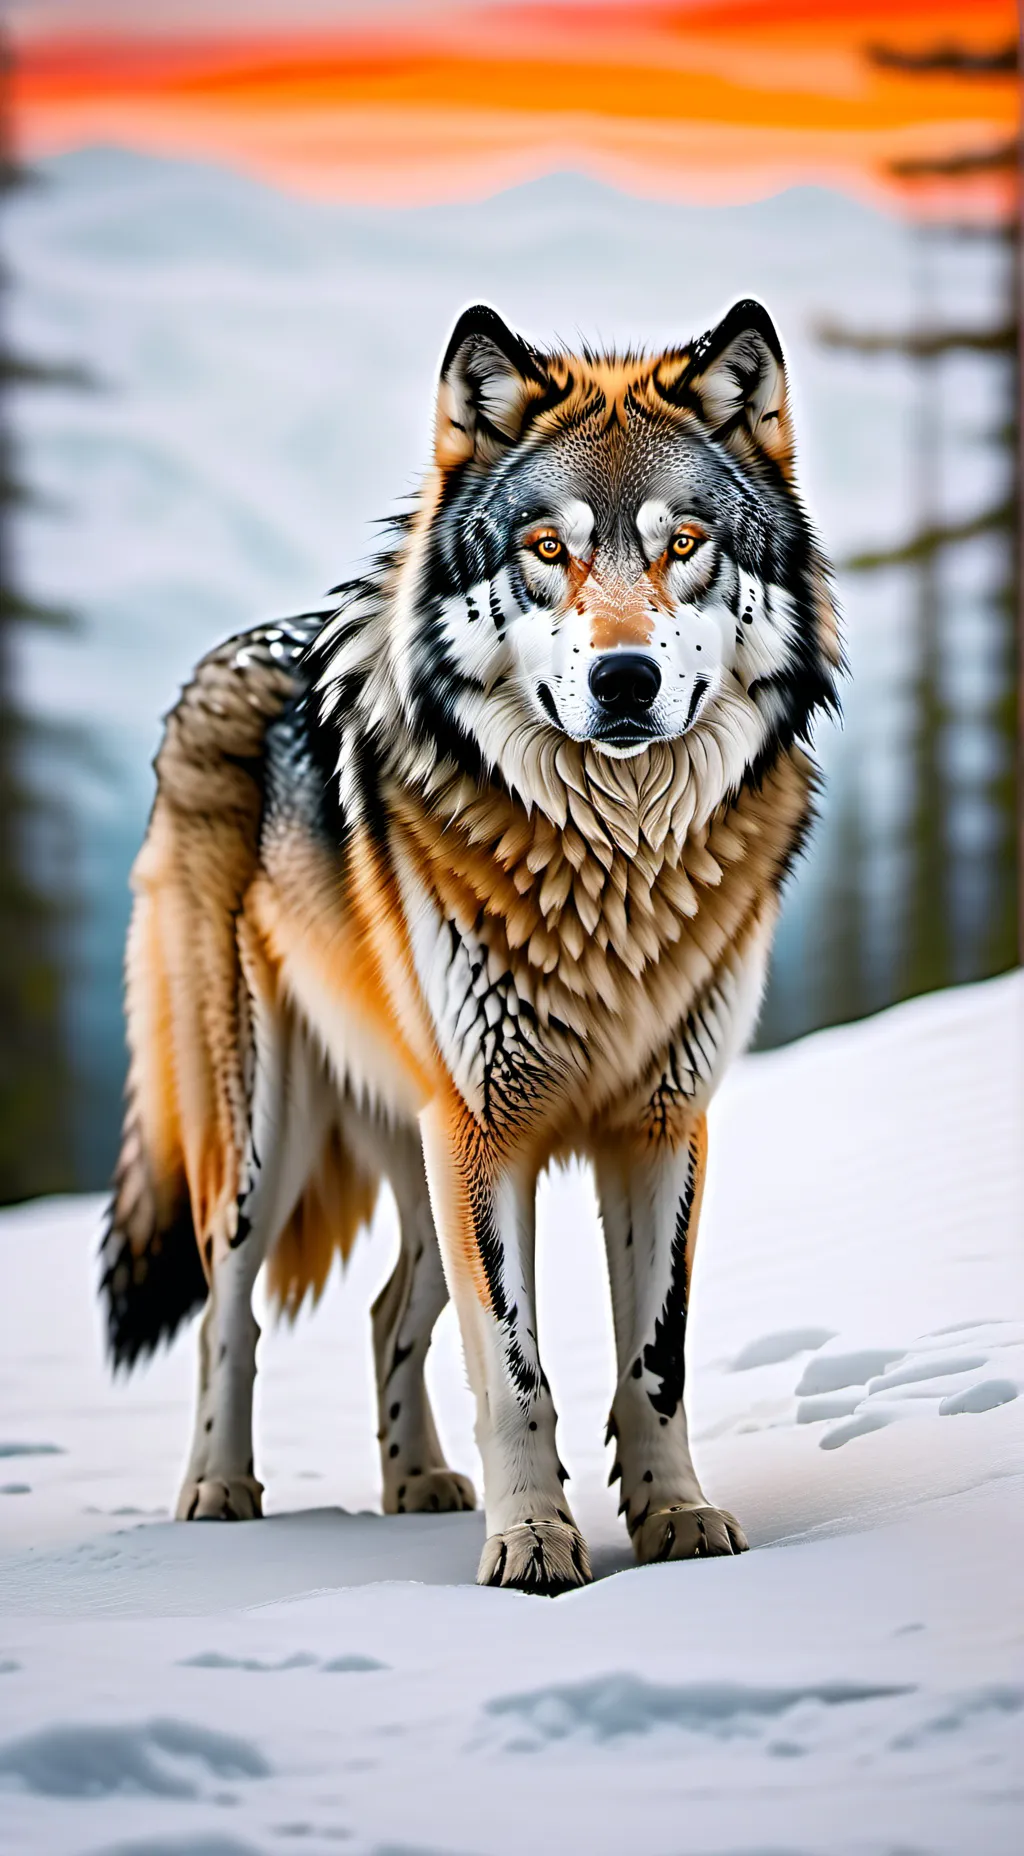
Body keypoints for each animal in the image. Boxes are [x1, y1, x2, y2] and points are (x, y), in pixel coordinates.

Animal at [101, 299, 840, 1594]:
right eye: (545, 547)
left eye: (685, 541)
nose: (625, 678)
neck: (614, 864)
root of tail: (228, 655)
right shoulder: (487, 1129)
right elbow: (517, 1368)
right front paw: (534, 1542)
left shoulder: (661, 1121)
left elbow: (655, 1358)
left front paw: (676, 1519)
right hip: (266, 1139)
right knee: (228, 1313)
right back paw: (219, 1492)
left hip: (416, 1140)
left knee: (389, 1311)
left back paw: (417, 1484)